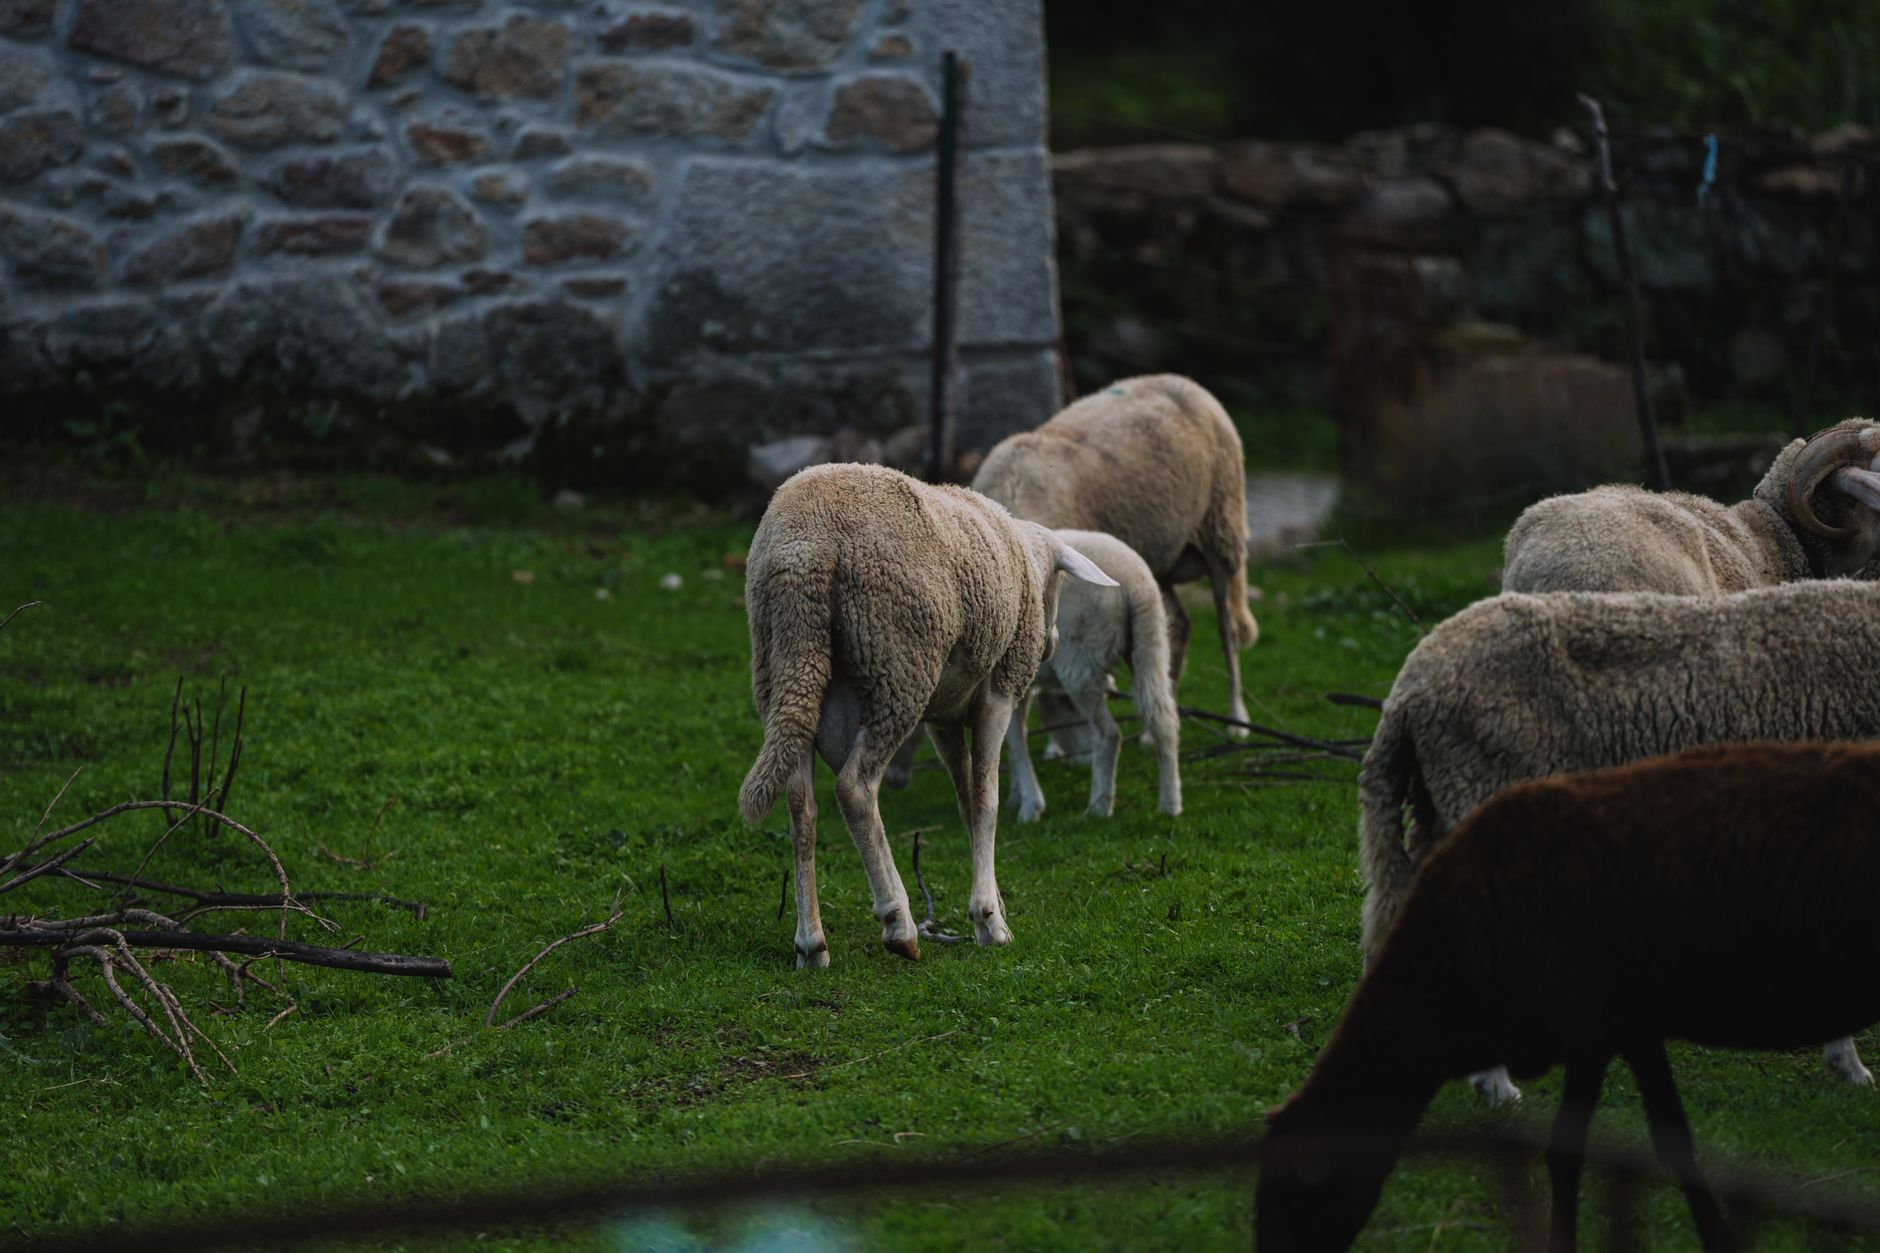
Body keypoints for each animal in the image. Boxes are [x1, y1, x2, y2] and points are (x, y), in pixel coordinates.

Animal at [737, 463, 1116, 968]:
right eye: (1058, 584)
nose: (1051, 643)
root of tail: (806, 548)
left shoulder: (943, 717)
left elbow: (967, 800)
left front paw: (991, 903)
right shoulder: (997, 693)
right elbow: (987, 800)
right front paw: (989, 920)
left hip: (789, 668)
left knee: (801, 803)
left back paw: (811, 943)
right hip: (896, 661)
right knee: (855, 788)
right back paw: (899, 923)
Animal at [971, 374, 1260, 737]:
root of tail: (1182, 381)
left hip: (1222, 529)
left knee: (1228, 629)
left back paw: (1238, 720)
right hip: (1156, 559)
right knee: (1176, 629)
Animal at [1002, 529, 1181, 823]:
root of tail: (1135, 584)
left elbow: (1015, 737)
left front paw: (1029, 805)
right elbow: (1012, 734)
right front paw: (1017, 796)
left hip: (1082, 658)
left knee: (1108, 734)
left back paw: (1099, 806)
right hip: (1150, 641)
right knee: (1162, 718)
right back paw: (1170, 804)